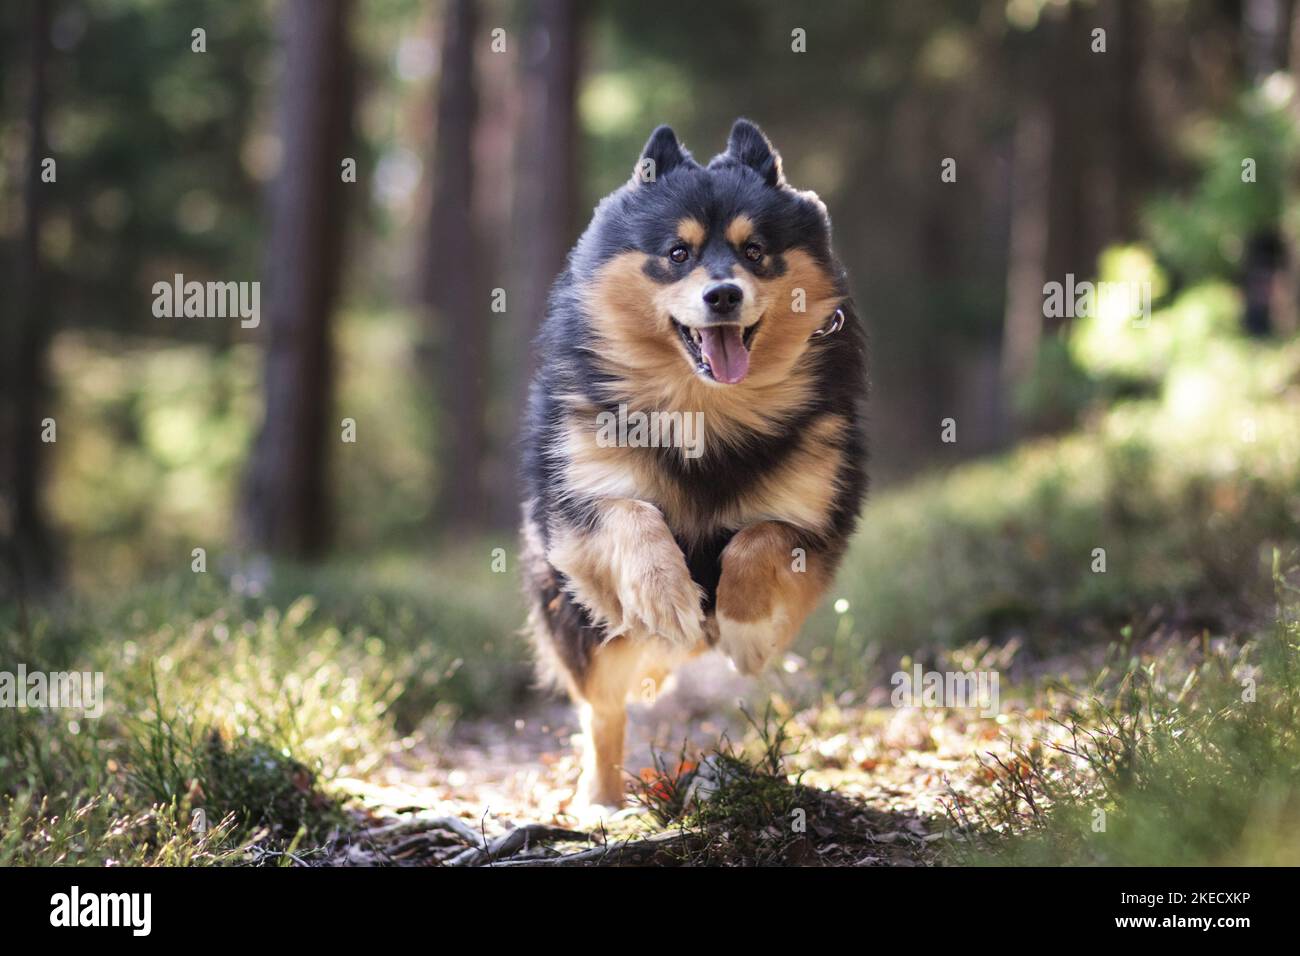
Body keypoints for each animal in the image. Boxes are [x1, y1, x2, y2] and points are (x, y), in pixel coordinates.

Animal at [517, 117, 863, 806]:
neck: (707, 412)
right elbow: (631, 514)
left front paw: (745, 630)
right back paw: (600, 798)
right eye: (678, 254)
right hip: (577, 623)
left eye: (755, 251)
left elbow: (759, 538)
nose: (724, 294)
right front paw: (668, 596)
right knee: (603, 709)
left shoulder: (817, 515)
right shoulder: (576, 504)